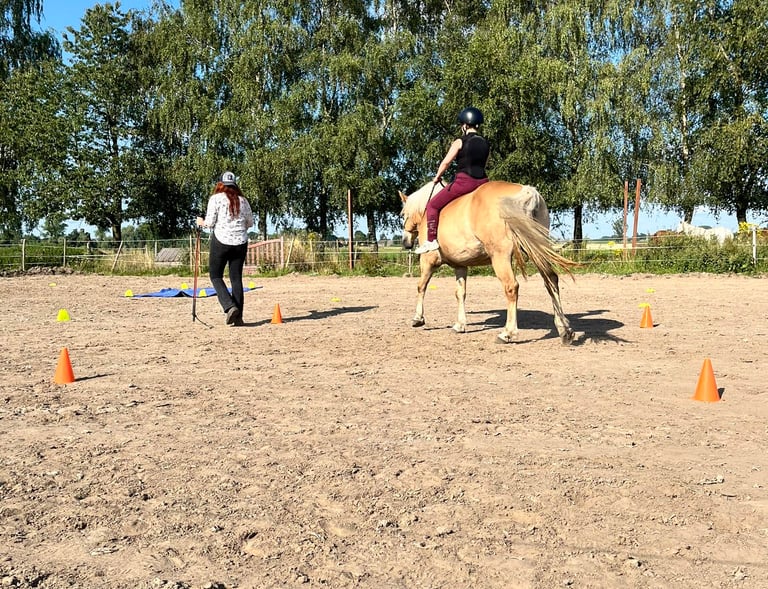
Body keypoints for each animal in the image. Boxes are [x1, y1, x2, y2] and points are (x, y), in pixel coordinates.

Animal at [400, 180, 579, 345]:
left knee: (512, 287)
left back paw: (507, 333)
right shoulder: (460, 266)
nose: (405, 242)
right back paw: (564, 330)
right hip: (537, 249)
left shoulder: (428, 261)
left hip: (500, 256)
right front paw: (460, 325)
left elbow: (421, 286)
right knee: (551, 281)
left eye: (402, 214)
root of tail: (526, 193)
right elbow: (460, 293)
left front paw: (418, 318)